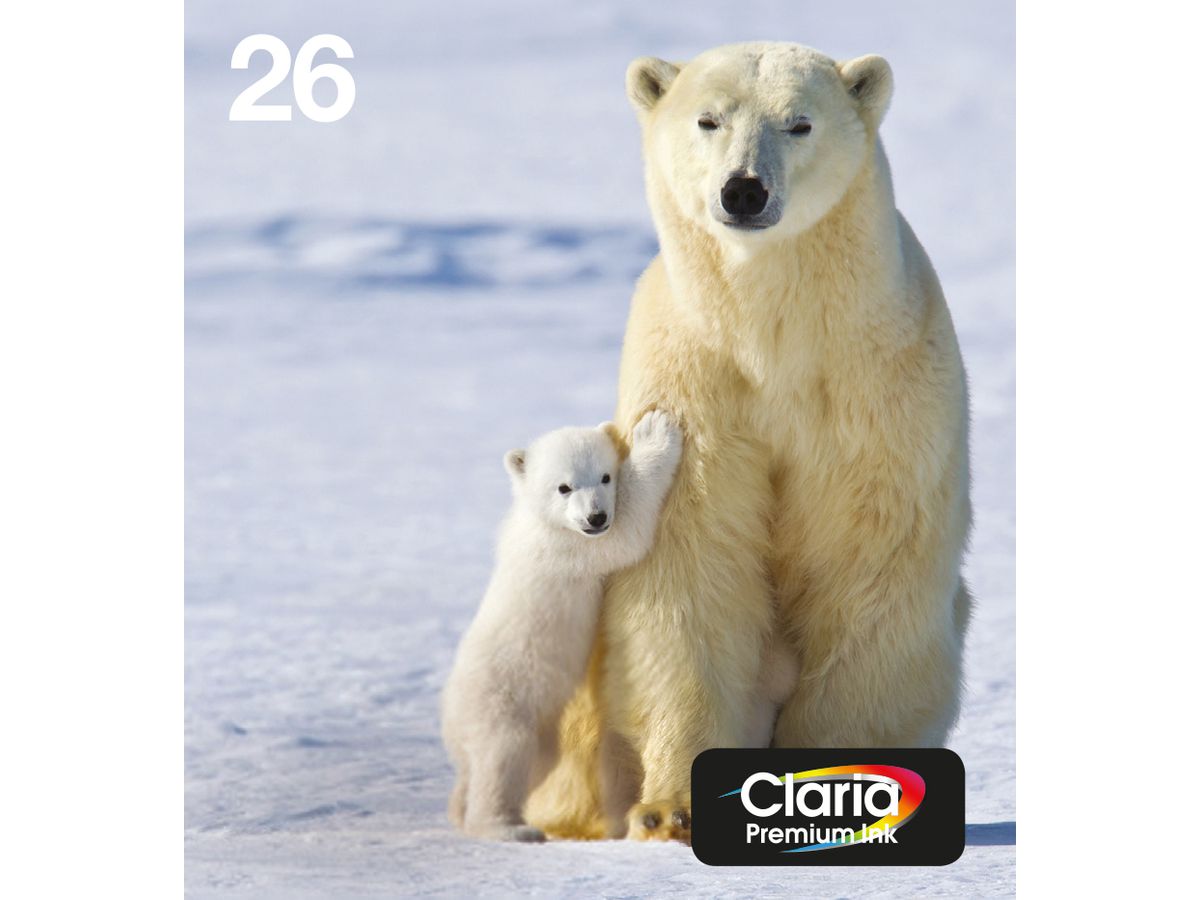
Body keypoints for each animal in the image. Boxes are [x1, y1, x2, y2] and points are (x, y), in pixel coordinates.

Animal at [441, 411, 683, 841]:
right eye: (564, 486)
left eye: (604, 476)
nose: (596, 516)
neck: (539, 521)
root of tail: (451, 723)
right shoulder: (569, 548)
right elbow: (626, 533)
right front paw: (654, 432)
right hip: (499, 704)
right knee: (502, 757)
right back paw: (510, 829)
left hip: (540, 731)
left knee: (533, 763)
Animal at [525, 42, 972, 843]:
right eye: (709, 119)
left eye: (799, 122)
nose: (743, 191)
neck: (774, 336)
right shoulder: (697, 385)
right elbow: (691, 568)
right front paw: (670, 809)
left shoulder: (875, 389)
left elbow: (866, 564)